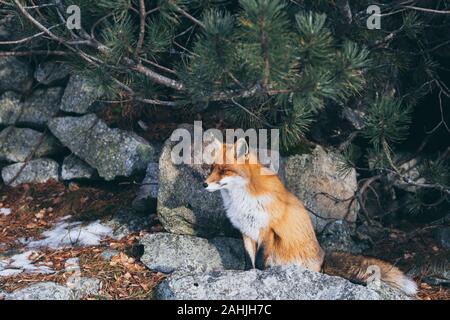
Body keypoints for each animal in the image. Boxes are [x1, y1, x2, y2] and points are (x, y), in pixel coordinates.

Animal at [205, 139, 418, 296]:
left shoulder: (267, 230)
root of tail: (322, 259)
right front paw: (248, 275)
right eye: (211, 169)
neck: (242, 200)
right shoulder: (247, 231)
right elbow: (249, 260)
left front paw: (259, 276)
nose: (204, 184)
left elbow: (259, 260)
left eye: (224, 170)